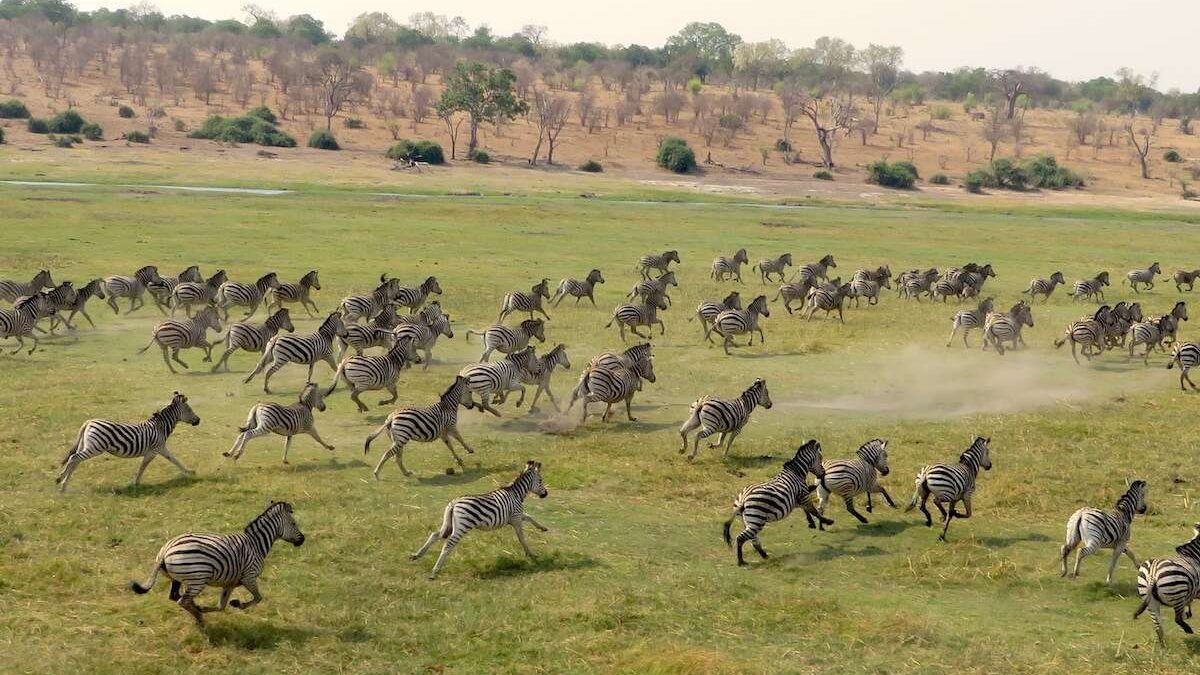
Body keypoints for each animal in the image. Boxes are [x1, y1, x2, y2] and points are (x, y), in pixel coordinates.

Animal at [56, 392, 200, 491]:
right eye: (189, 410)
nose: (198, 420)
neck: (160, 427)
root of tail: (89, 422)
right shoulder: (153, 451)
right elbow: (143, 466)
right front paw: (135, 482)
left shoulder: (161, 448)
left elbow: (174, 459)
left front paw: (189, 472)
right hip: (95, 447)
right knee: (74, 458)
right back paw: (61, 481)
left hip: (85, 445)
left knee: (75, 460)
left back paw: (63, 483)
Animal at [127, 502, 304, 625]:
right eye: (294, 524)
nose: (302, 539)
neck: (256, 544)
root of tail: (165, 552)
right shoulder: (249, 576)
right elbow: (258, 598)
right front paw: (238, 604)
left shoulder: (230, 583)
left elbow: (221, 606)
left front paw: (212, 606)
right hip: (198, 578)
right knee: (182, 600)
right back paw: (199, 618)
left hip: (179, 579)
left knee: (176, 596)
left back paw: (197, 609)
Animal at [411, 461, 549, 579]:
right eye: (541, 481)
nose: (546, 494)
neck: (517, 494)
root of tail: (454, 503)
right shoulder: (516, 518)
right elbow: (522, 538)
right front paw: (531, 554)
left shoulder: (516, 516)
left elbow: (530, 517)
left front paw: (543, 528)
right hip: (462, 526)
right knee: (447, 544)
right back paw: (434, 571)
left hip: (448, 523)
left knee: (435, 534)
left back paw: (417, 555)